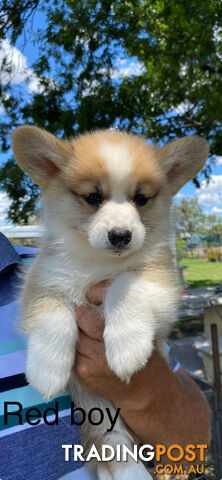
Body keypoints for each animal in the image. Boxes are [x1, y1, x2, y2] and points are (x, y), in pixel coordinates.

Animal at [11, 128, 208, 480]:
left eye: (141, 199)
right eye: (92, 197)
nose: (120, 236)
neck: (97, 262)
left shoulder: (161, 282)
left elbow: (124, 285)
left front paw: (126, 347)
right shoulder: (40, 281)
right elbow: (53, 315)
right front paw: (47, 371)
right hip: (100, 416)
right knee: (114, 446)